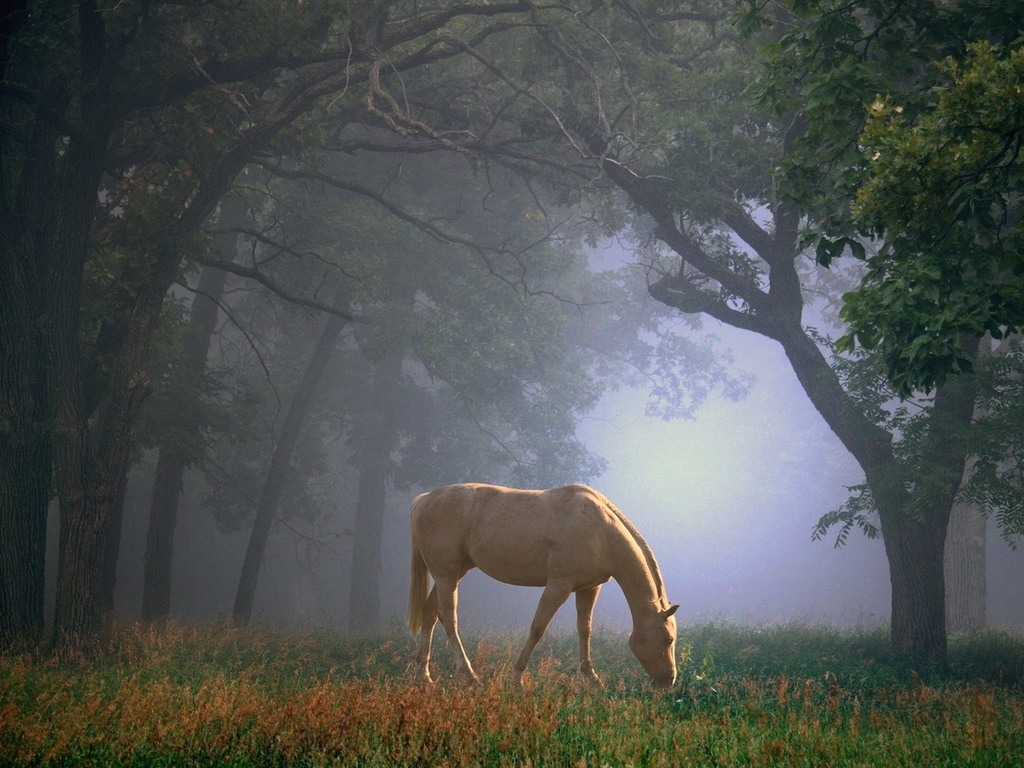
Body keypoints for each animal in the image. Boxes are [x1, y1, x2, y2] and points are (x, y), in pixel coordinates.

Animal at [407, 483, 679, 688]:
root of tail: (424, 499)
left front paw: (592, 678)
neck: (599, 529)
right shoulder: (559, 585)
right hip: (446, 574)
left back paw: (424, 676)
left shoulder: (588, 588)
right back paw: (470, 675)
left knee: (430, 614)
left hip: (454, 573)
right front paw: (517, 678)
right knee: (448, 618)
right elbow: (538, 628)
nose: (669, 681)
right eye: (668, 640)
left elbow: (585, 629)